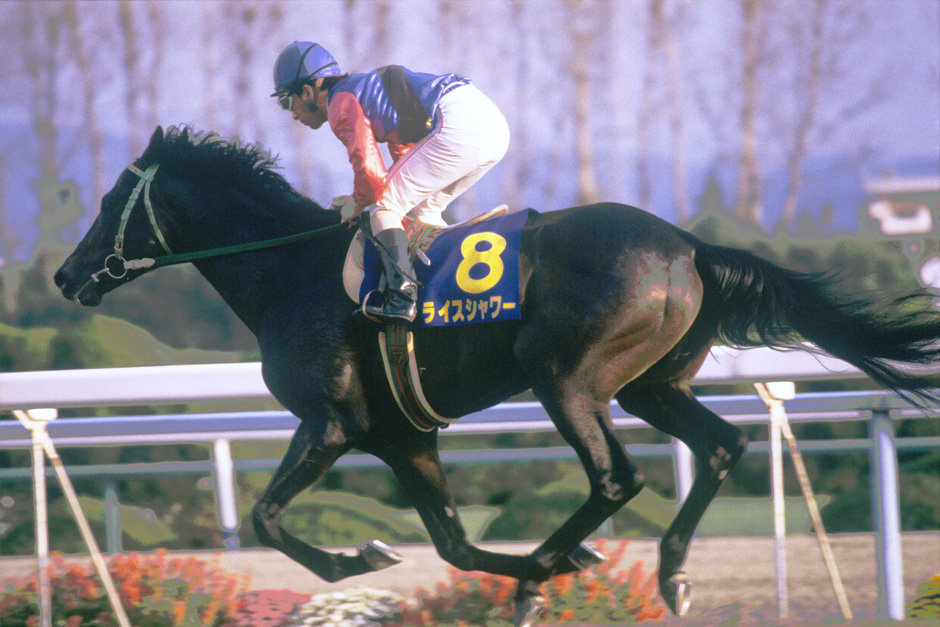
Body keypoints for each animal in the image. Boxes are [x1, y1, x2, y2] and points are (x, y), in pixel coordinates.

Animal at [55, 125, 940, 625]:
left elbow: (271, 520)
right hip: (651, 383)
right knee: (721, 447)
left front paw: (357, 562)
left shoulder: (330, 423)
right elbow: (453, 542)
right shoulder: (403, 438)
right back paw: (666, 571)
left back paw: (565, 560)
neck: (289, 272)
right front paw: (537, 573)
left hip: (568, 377)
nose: (66, 276)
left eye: (106, 203)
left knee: (617, 476)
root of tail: (690, 245)